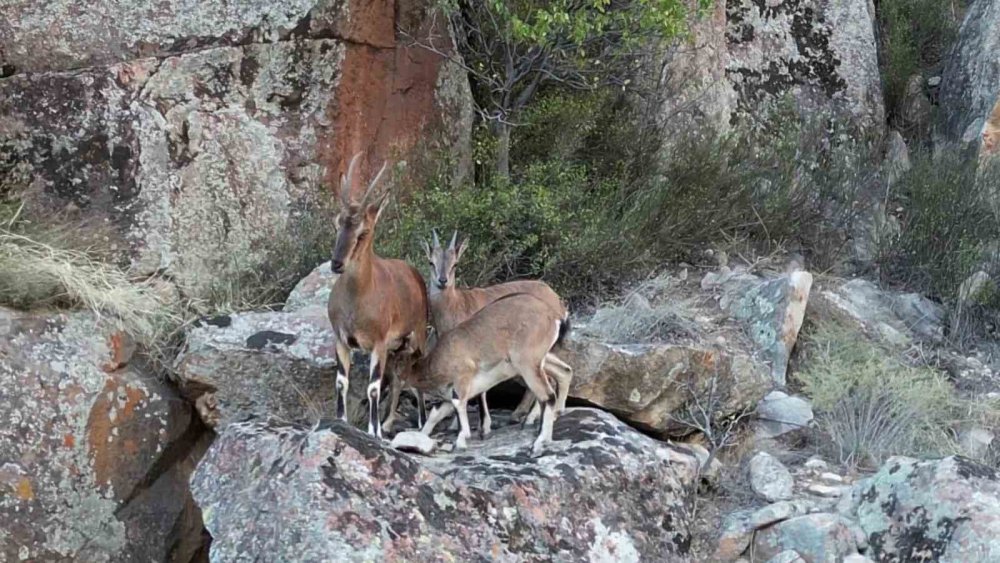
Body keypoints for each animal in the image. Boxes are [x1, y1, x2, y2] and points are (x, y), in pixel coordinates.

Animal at [324, 152, 426, 438]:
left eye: (364, 232)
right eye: (336, 223)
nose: (337, 263)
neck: (358, 301)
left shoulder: (379, 342)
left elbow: (373, 387)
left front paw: (374, 431)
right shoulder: (341, 338)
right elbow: (341, 382)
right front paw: (342, 421)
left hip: (417, 335)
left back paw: (421, 422)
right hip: (396, 348)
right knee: (399, 378)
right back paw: (391, 421)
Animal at [406, 294, 564, 456]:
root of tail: (554, 317)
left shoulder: (462, 382)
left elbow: (459, 405)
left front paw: (462, 440)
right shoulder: (455, 392)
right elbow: (436, 413)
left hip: (527, 366)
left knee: (548, 396)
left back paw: (537, 443)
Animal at [424, 229, 576, 432]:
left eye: (455, 263)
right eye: (431, 262)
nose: (443, 281)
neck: (457, 304)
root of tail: (558, 305)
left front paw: (481, 425)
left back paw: (527, 417)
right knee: (561, 372)